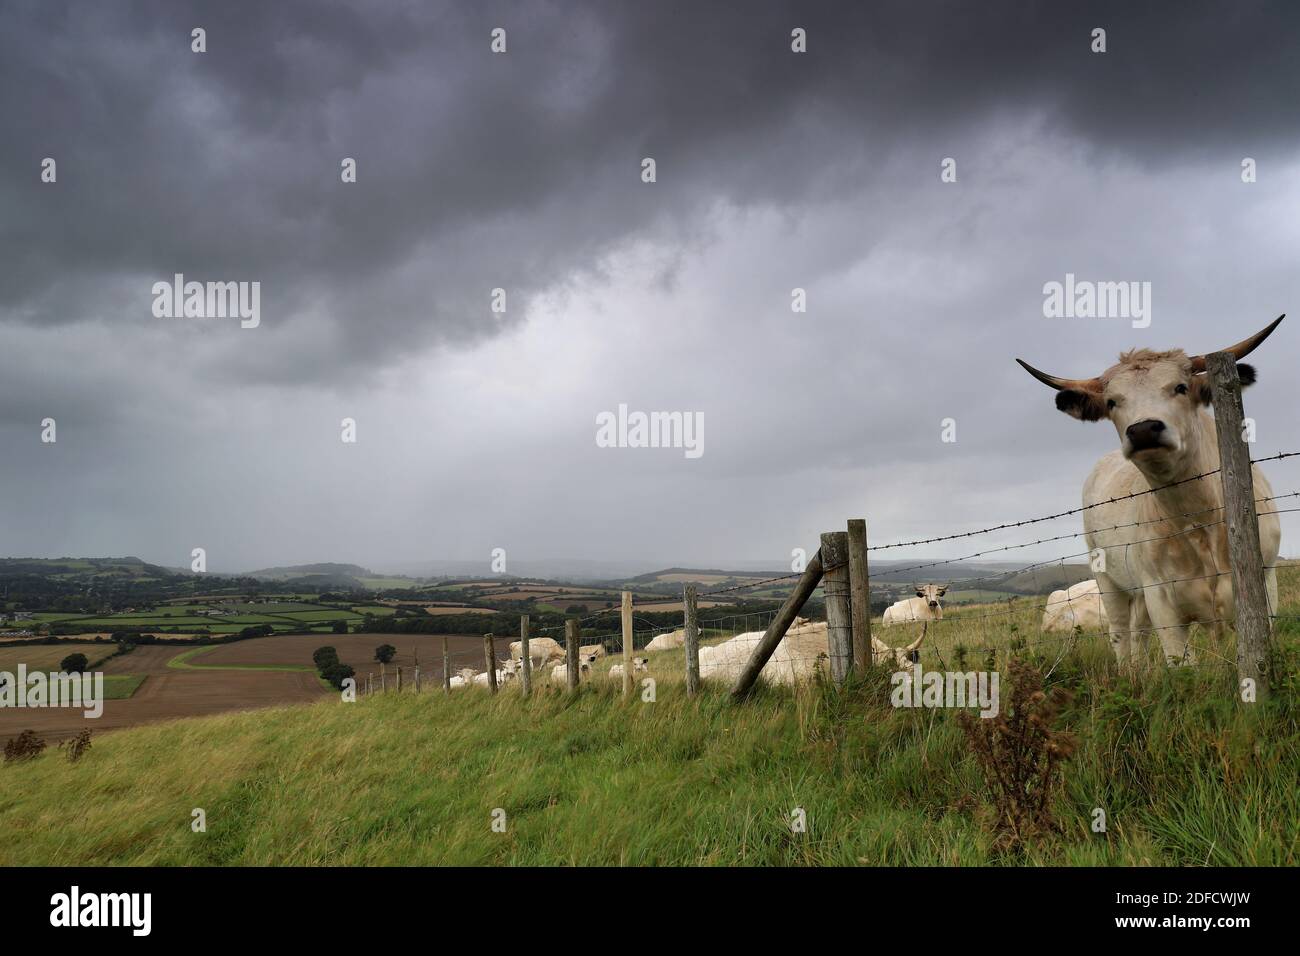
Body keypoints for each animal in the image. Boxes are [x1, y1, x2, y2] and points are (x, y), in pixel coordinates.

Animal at [1019, 317, 1284, 671]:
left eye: (1181, 387)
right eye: (1112, 401)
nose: (1143, 429)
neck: (1199, 517)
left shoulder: (1265, 584)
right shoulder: (1161, 600)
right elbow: (1181, 665)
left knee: (1138, 632)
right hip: (1108, 580)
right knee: (1121, 632)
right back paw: (1127, 673)